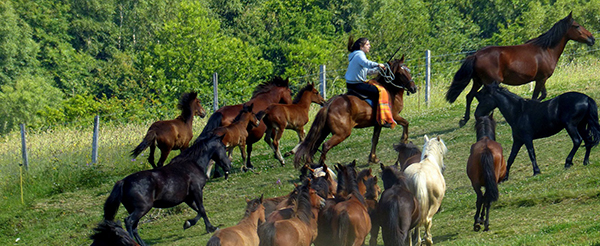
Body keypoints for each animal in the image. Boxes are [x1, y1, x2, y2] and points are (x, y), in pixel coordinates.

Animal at [103, 134, 232, 246]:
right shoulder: (197, 191)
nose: (228, 166)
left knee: (134, 227)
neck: (192, 164)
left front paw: (188, 223)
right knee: (129, 222)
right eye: (224, 147)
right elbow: (202, 209)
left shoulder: (188, 198)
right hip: (142, 208)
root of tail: (123, 182)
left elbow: (199, 210)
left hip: (134, 209)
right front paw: (210, 228)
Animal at [446, 11, 596, 127]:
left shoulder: (541, 79)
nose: (592, 38)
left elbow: (543, 95)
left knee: (469, 95)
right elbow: (536, 96)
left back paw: (465, 120)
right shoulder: (541, 79)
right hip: (490, 82)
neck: (546, 50)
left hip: (478, 81)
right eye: (577, 26)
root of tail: (475, 55)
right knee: (479, 95)